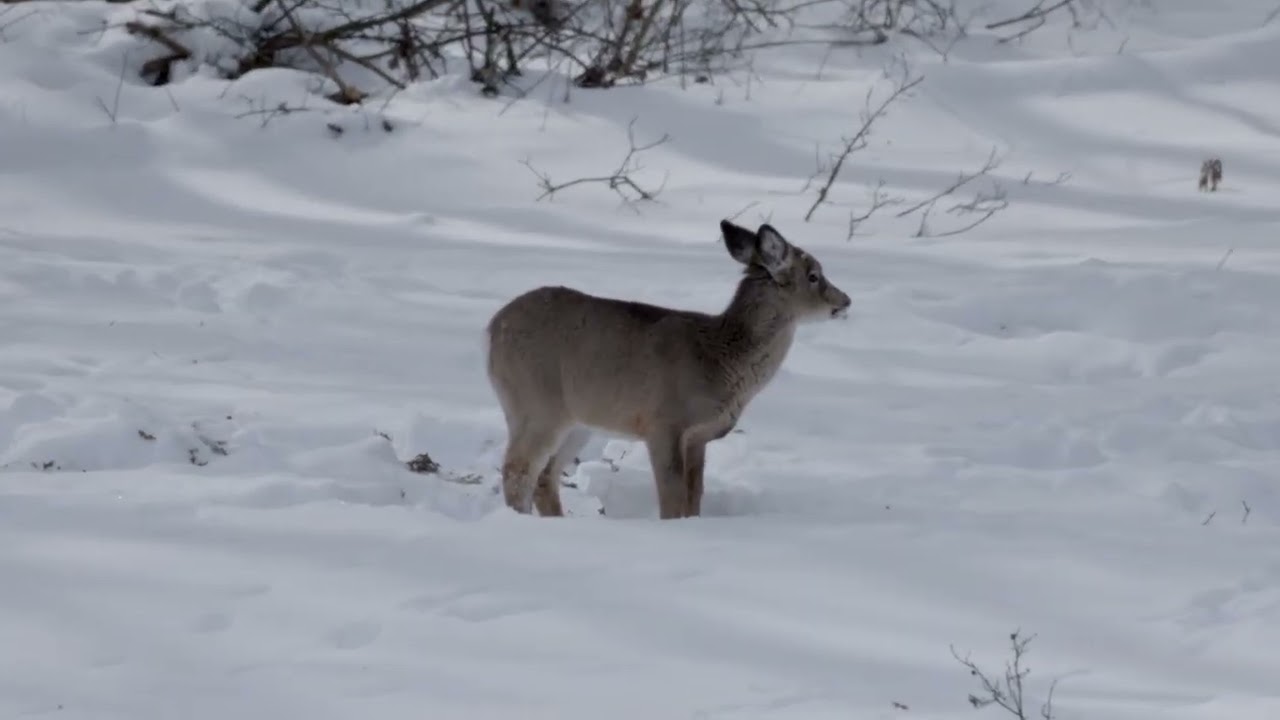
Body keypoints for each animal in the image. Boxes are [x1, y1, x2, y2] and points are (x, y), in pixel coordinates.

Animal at [484, 219, 852, 520]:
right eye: (814, 275)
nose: (845, 301)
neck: (719, 359)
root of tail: (492, 329)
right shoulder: (663, 423)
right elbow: (672, 499)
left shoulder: (698, 437)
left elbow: (693, 497)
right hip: (536, 402)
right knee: (518, 470)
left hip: (577, 420)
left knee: (545, 476)